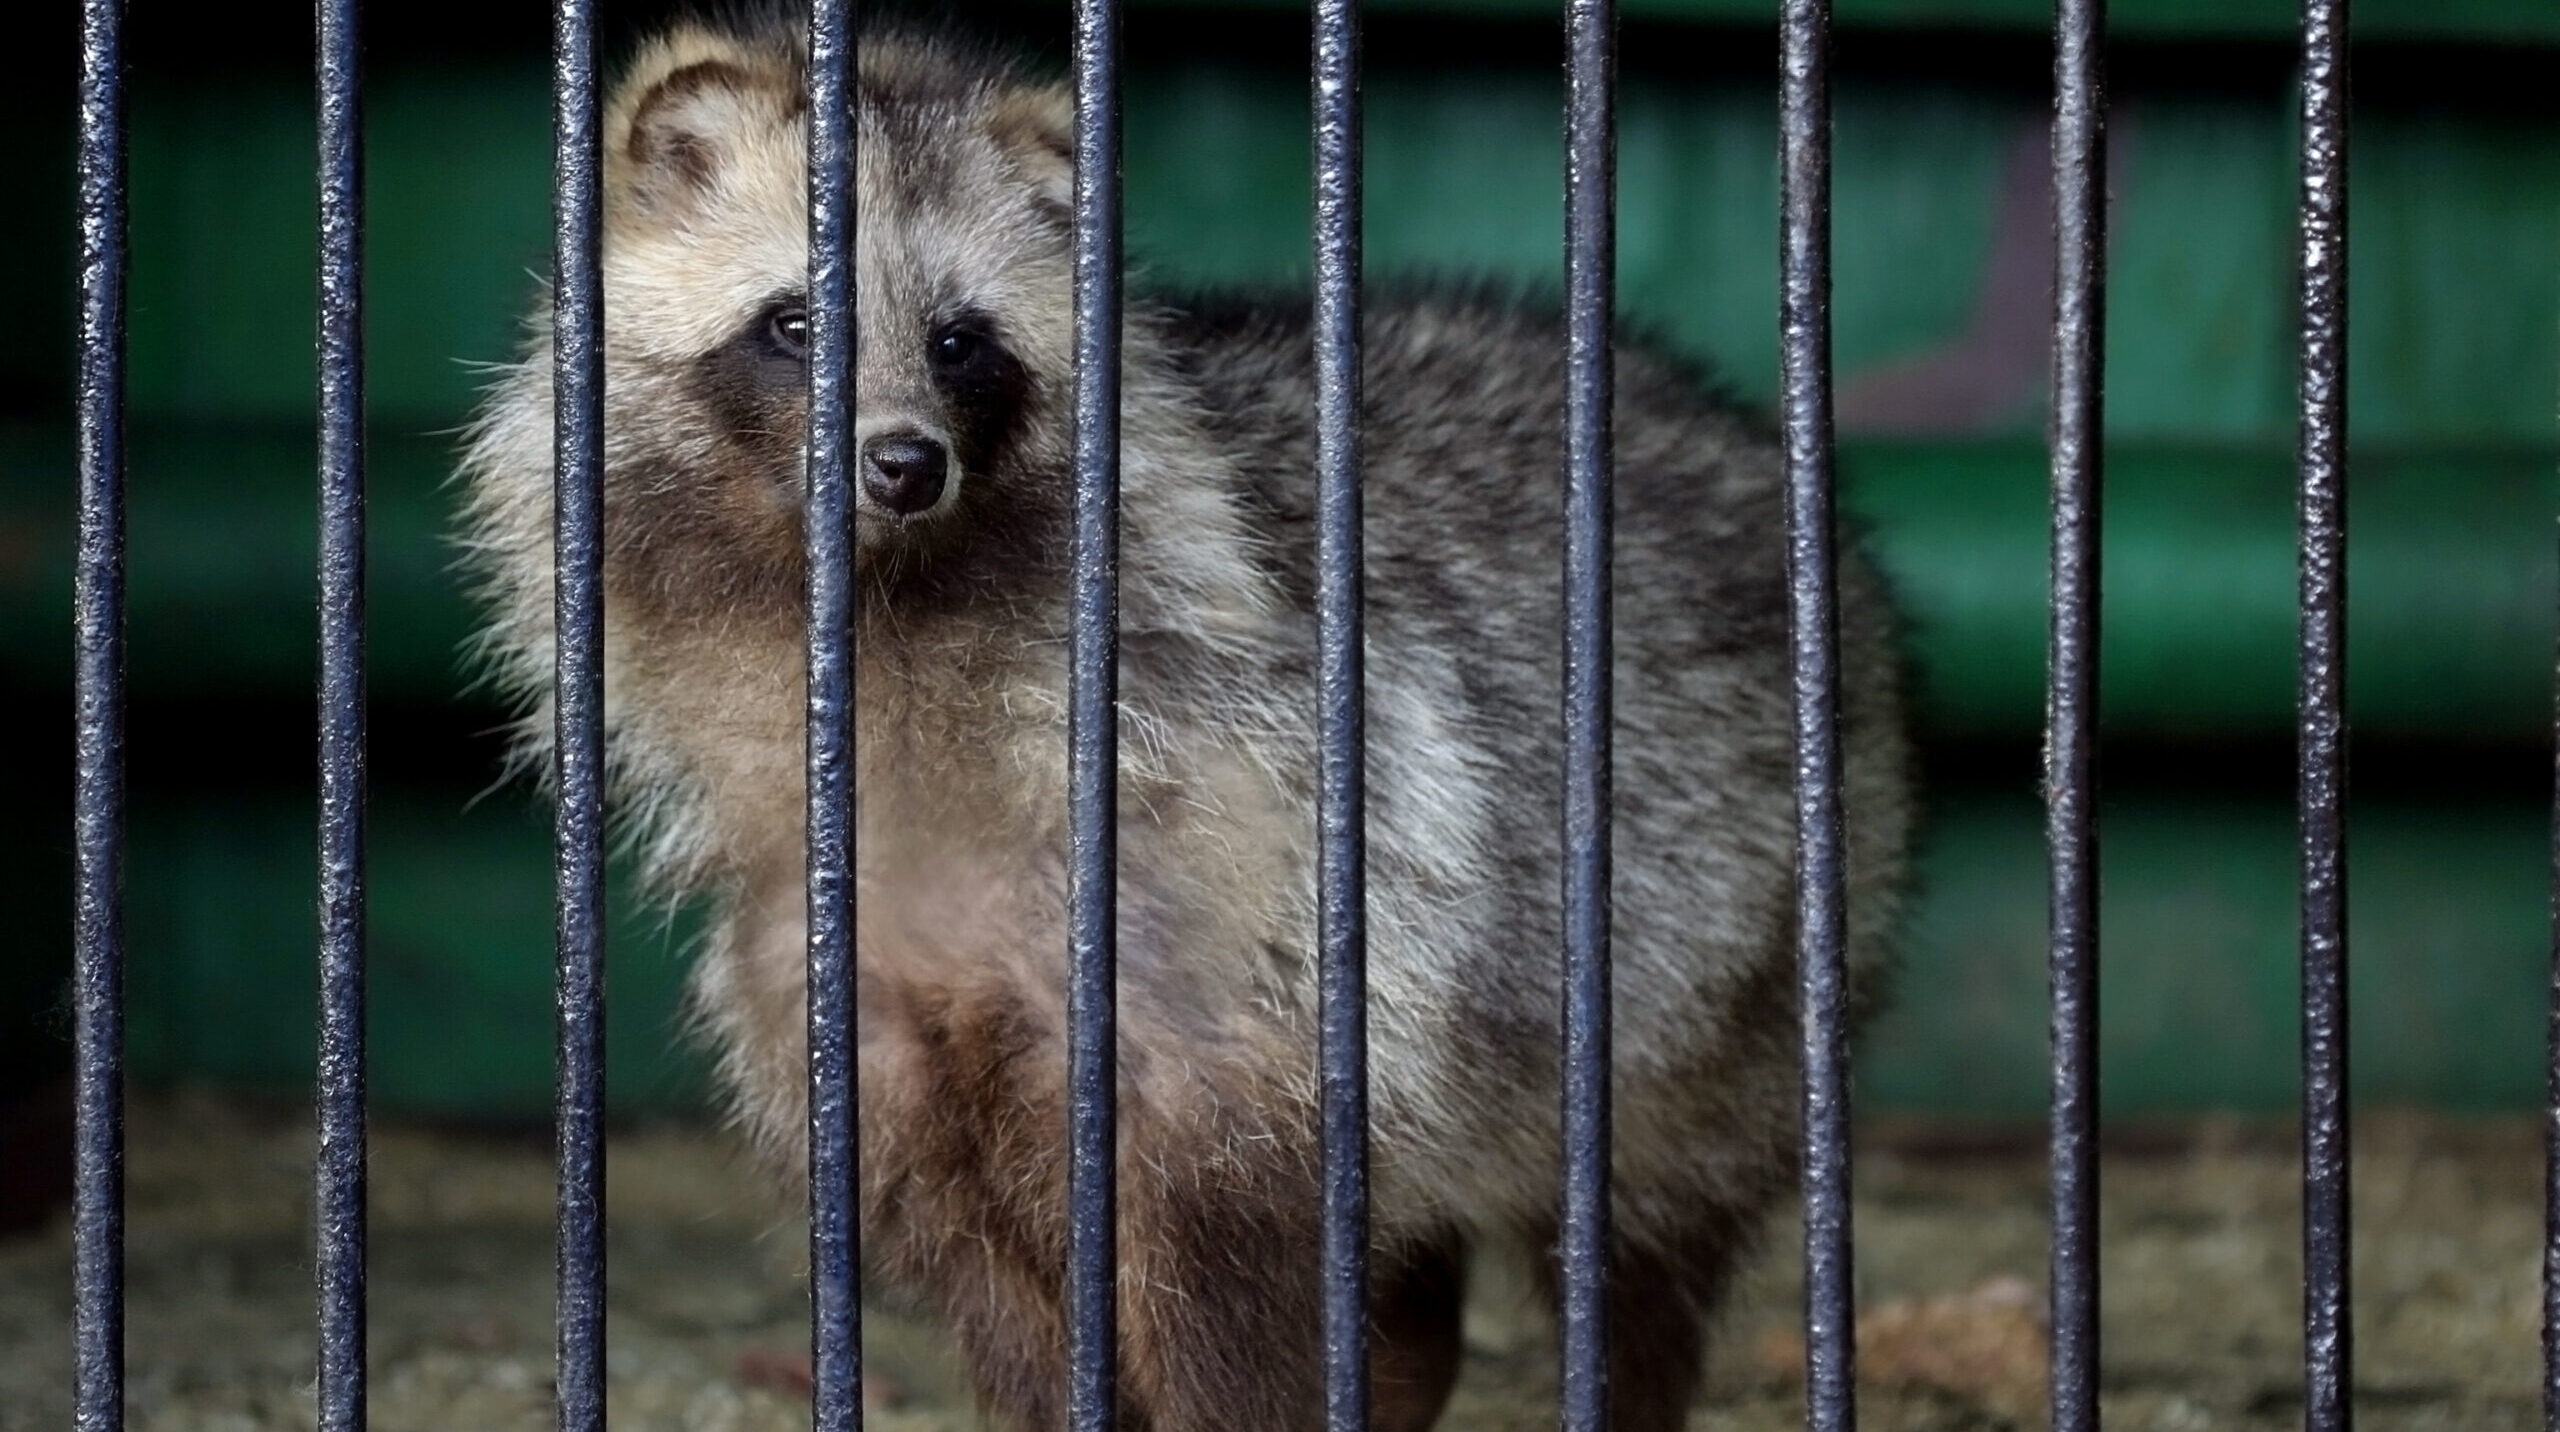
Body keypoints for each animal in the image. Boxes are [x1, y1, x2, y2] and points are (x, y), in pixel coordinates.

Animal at [455, 14, 1925, 1432]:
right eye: (794, 323)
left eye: (959, 341)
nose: (904, 463)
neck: (896, 626)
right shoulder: (853, 1020)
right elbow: (1017, 1324)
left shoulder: (1248, 959)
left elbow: (1236, 1322)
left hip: (1715, 986)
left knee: (1633, 1251)